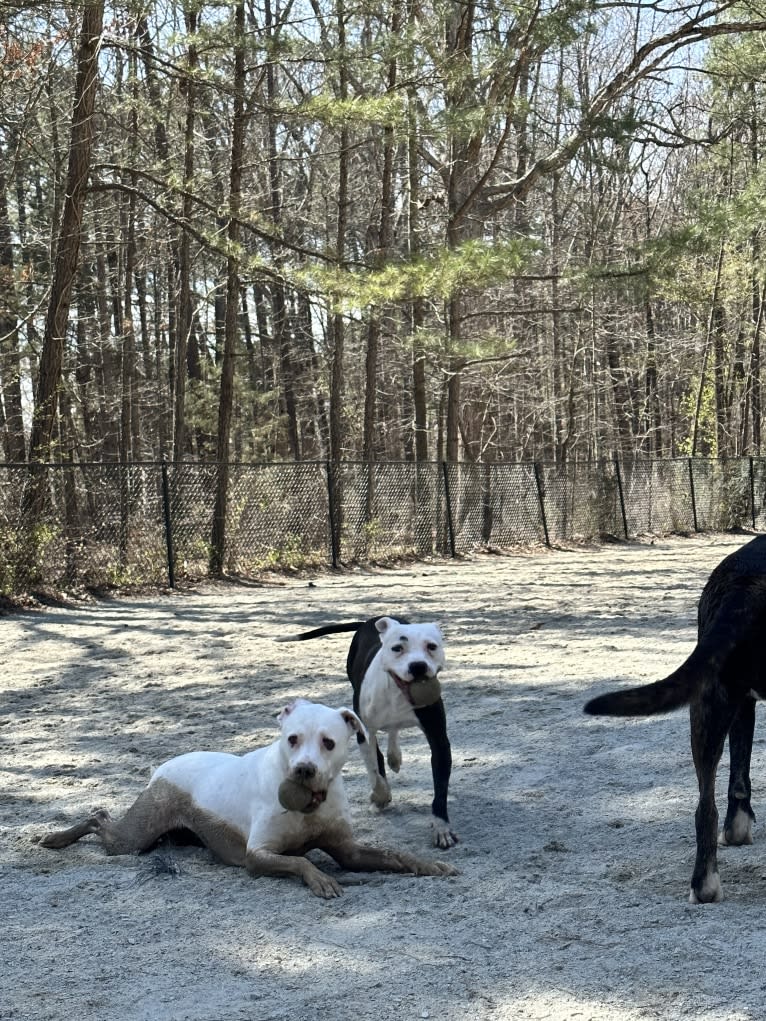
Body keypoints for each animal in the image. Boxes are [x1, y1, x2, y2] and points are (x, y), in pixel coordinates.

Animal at [39, 698, 459, 898]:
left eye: (328, 742)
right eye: (292, 738)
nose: (303, 769)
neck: (309, 804)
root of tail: (162, 768)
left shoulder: (349, 851)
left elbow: (395, 854)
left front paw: (428, 864)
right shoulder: (258, 855)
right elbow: (302, 862)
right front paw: (321, 880)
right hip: (134, 837)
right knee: (99, 816)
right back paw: (54, 838)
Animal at [279, 616, 459, 849]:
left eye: (431, 647)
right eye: (397, 648)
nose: (418, 666)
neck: (397, 695)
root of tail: (369, 620)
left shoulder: (439, 740)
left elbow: (440, 787)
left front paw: (441, 826)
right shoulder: (364, 732)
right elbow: (375, 769)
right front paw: (380, 797)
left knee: (393, 732)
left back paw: (395, 756)